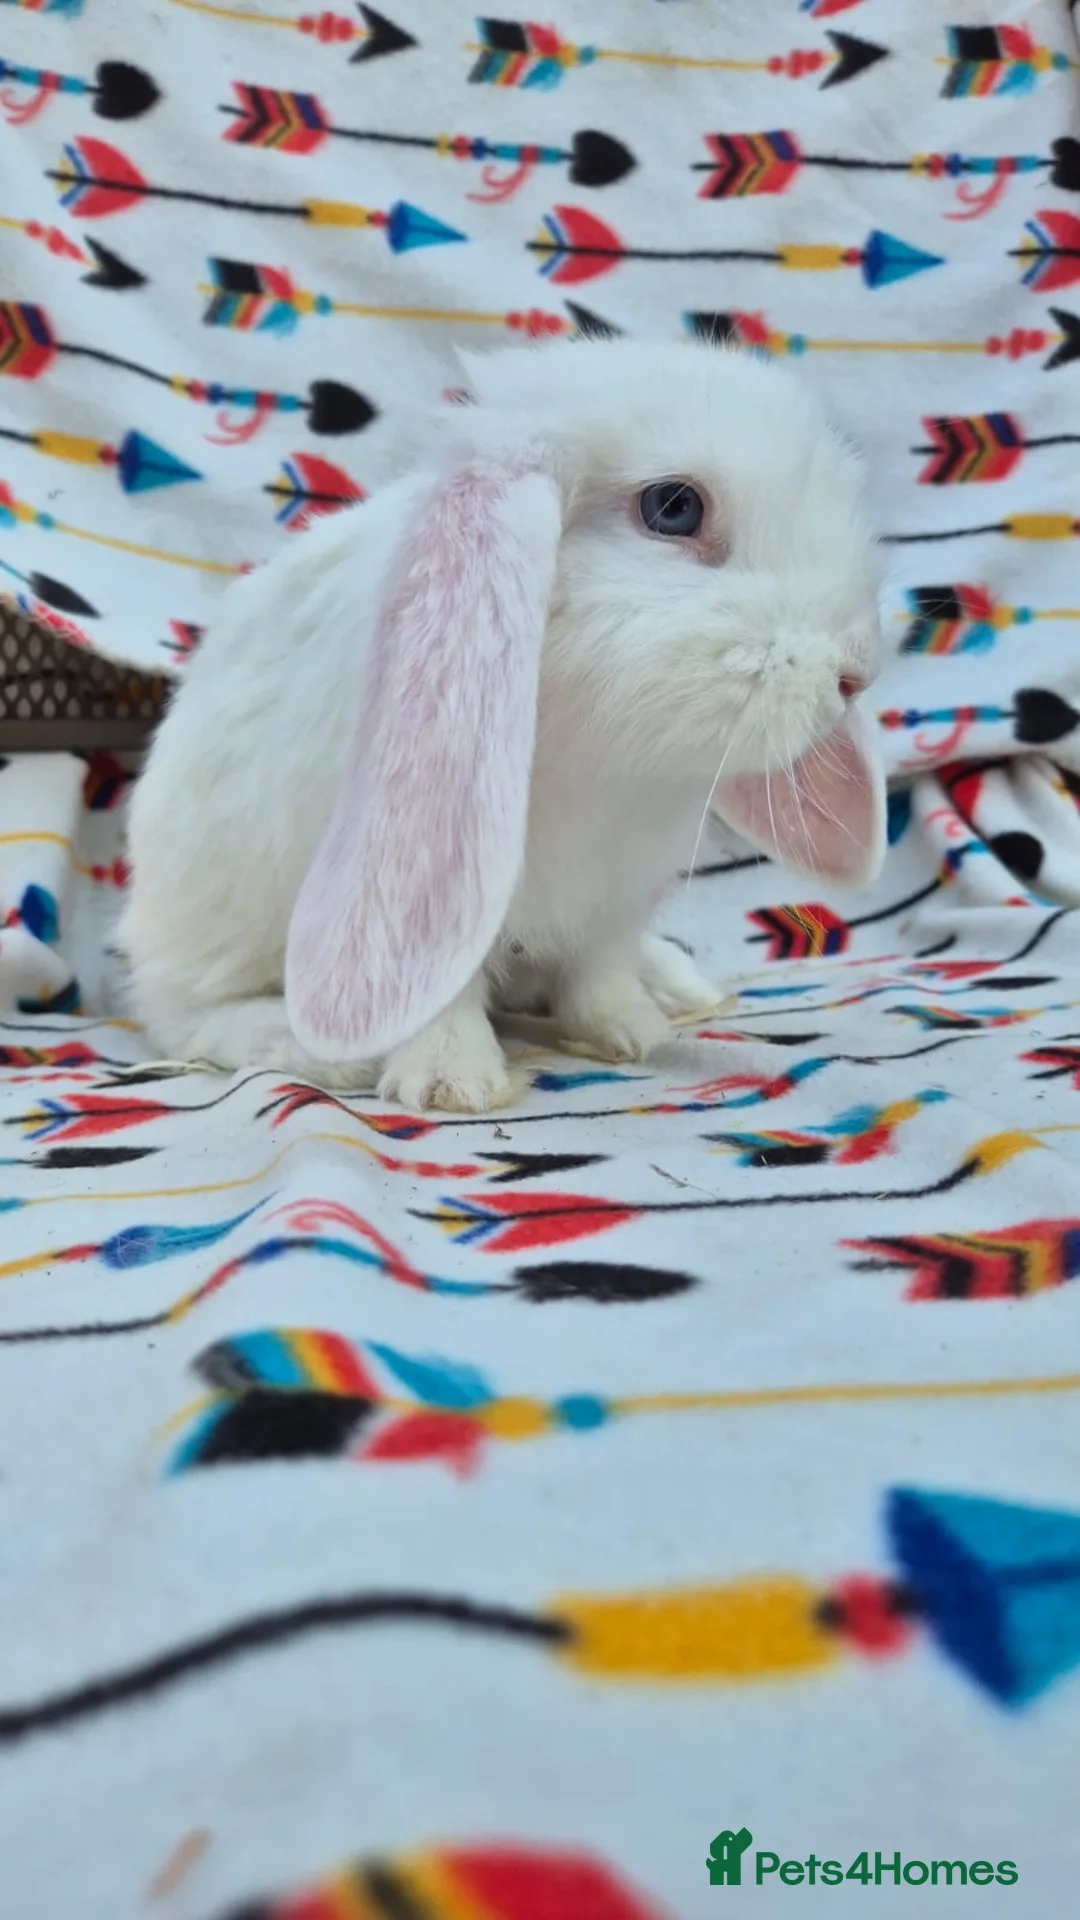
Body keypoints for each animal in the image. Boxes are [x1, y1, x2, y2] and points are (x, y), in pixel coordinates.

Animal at [120, 336, 885, 1112]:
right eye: (673, 507)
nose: (856, 673)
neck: (599, 753)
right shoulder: (427, 891)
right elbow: (436, 993)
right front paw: (451, 1083)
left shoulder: (616, 898)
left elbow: (599, 969)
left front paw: (628, 1031)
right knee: (186, 1015)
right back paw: (318, 1051)